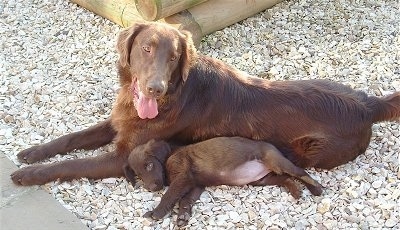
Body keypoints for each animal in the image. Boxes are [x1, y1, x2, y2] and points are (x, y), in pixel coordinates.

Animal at [10, 21, 400, 189]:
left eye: (174, 56)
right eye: (146, 48)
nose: (154, 89)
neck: (174, 93)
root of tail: (368, 103)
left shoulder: (124, 154)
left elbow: (73, 164)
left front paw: (30, 174)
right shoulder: (121, 119)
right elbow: (72, 138)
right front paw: (32, 152)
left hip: (313, 152)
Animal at [123, 137, 324, 226]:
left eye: (149, 165)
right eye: (138, 174)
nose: (152, 188)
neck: (170, 155)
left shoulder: (184, 177)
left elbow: (170, 195)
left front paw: (156, 213)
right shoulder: (195, 184)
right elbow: (185, 199)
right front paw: (183, 215)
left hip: (276, 161)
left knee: (300, 172)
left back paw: (316, 188)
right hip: (262, 179)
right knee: (286, 178)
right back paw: (295, 190)